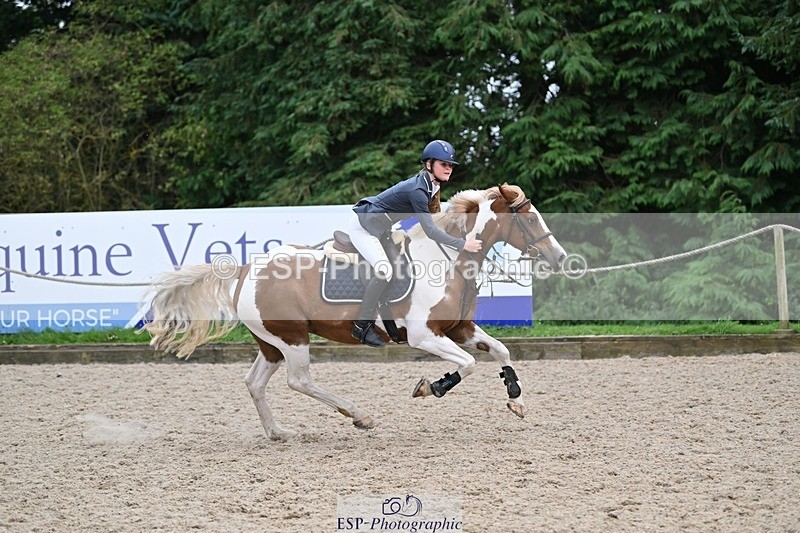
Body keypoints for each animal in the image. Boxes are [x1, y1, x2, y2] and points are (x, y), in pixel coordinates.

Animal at [141, 183, 567, 441]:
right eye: (530, 217)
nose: (559, 257)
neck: (448, 258)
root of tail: (248, 268)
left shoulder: (460, 328)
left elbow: (499, 351)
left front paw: (516, 398)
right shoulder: (424, 335)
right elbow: (468, 364)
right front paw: (433, 386)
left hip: (271, 342)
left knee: (255, 382)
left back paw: (279, 432)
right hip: (292, 337)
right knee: (300, 381)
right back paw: (359, 415)